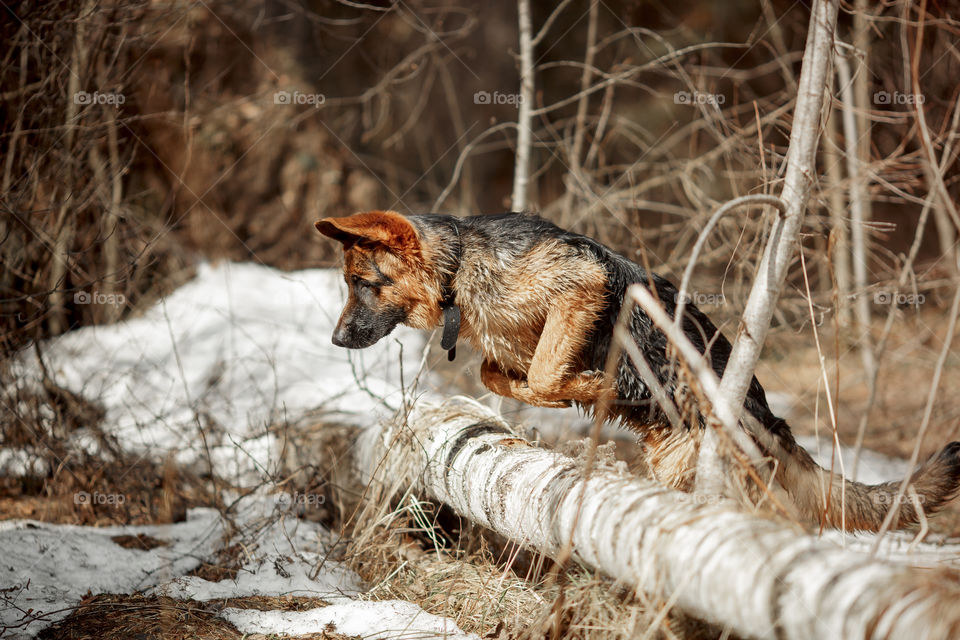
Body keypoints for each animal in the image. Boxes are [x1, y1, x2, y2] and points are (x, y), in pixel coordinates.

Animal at [318, 210, 960, 528]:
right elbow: (495, 374)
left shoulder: (581, 285)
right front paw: (562, 389)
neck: (459, 271)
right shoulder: (511, 342)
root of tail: (769, 420)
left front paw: (587, 386)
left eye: (364, 284)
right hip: (674, 465)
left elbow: (545, 371)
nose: (336, 339)